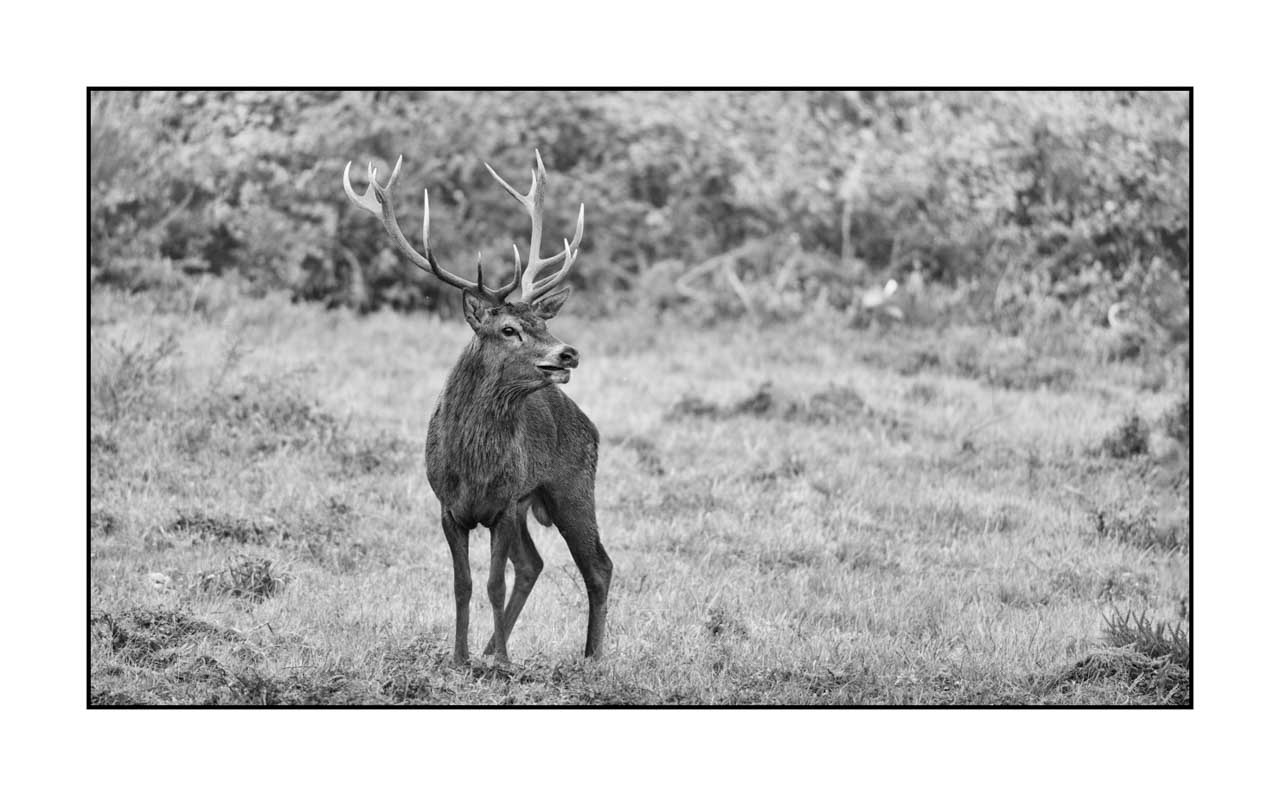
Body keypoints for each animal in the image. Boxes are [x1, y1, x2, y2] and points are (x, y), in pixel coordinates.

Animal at [342, 150, 612, 666]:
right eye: (509, 329)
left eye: (544, 324)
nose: (568, 353)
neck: (472, 467)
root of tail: (590, 425)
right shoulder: (451, 509)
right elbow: (463, 585)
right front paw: (461, 657)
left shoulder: (503, 505)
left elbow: (493, 583)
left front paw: (502, 664)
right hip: (535, 499)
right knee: (535, 564)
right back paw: (492, 647)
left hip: (571, 484)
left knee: (598, 566)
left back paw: (591, 658)